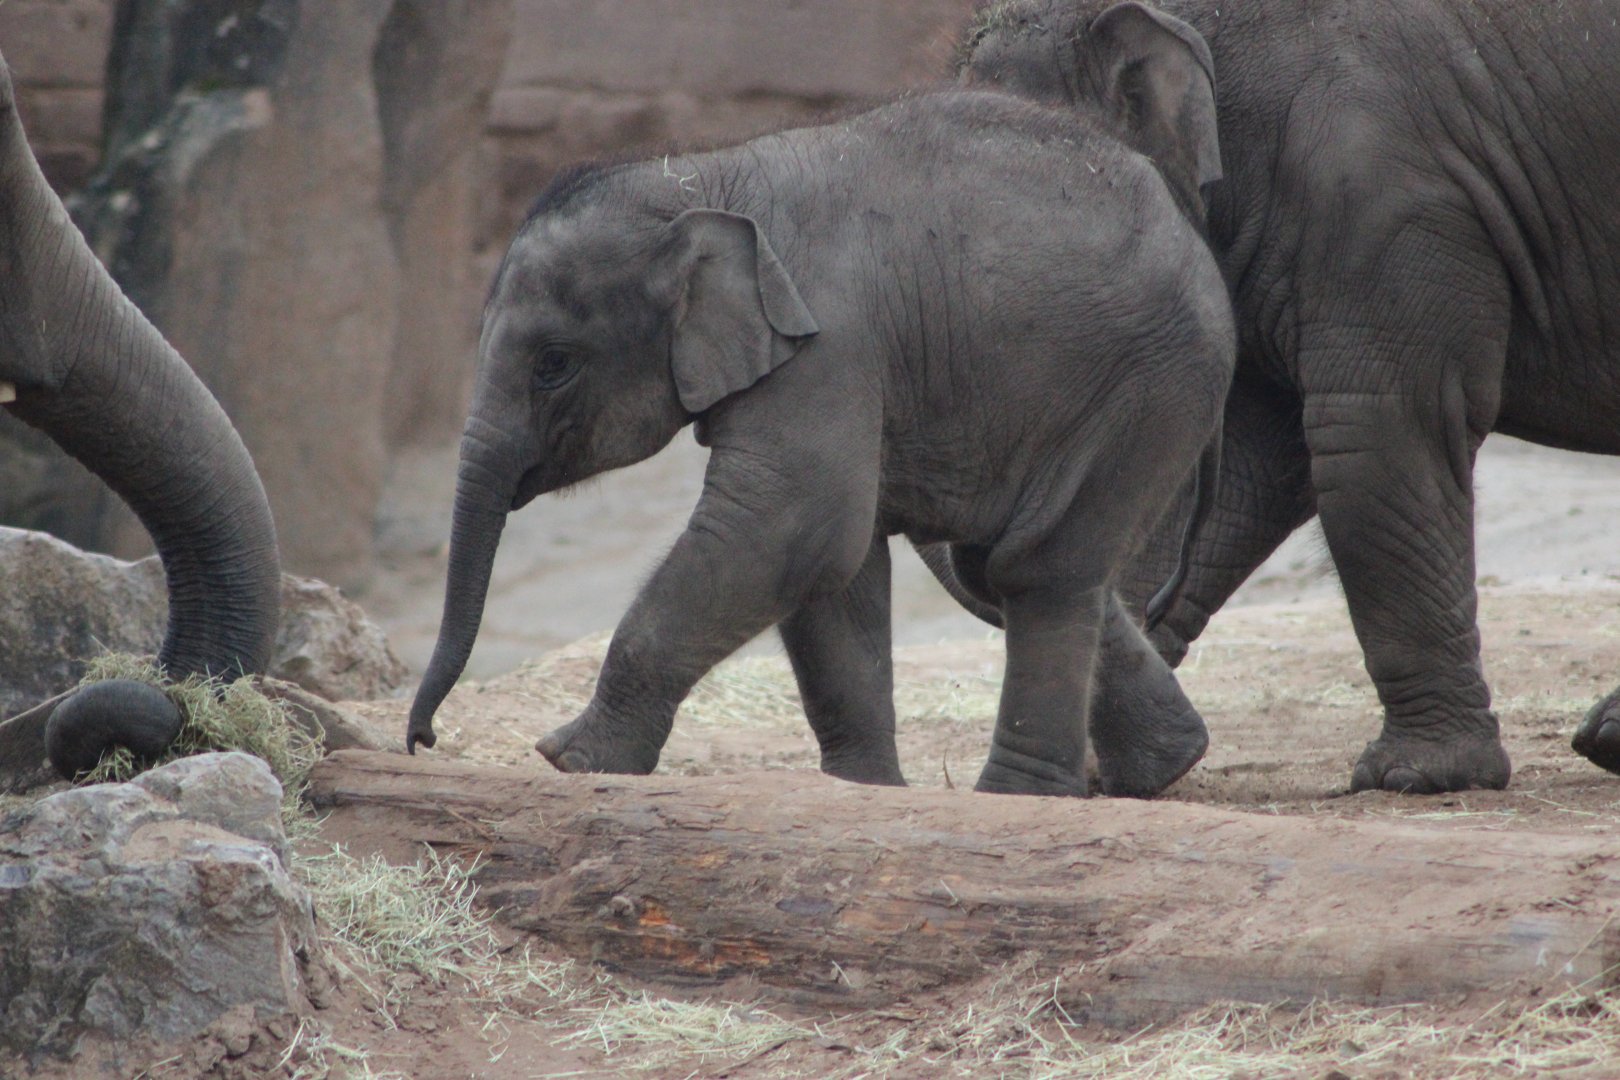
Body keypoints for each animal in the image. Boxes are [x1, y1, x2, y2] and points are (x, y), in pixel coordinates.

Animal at [405, 79, 1235, 797]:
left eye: (552, 365)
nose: (423, 740)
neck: (703, 176)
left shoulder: (829, 343)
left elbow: (791, 522)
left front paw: (569, 760)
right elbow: (834, 564)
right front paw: (865, 790)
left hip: (1147, 384)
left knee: (1039, 568)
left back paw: (1014, 796)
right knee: (999, 562)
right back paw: (1164, 766)